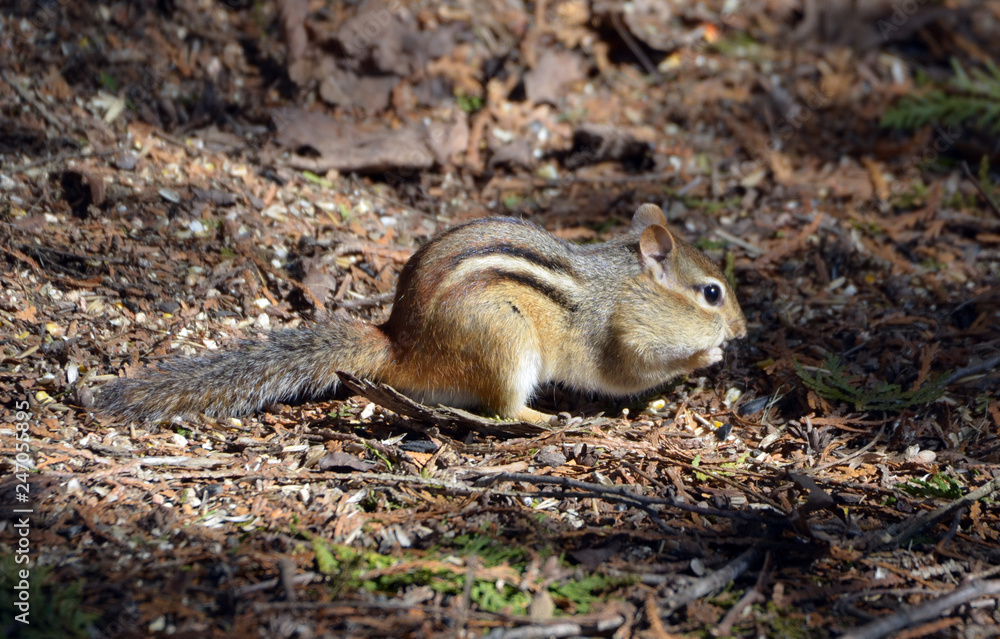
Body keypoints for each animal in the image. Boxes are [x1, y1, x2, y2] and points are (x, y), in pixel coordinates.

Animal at [96, 204, 747, 424]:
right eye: (713, 293)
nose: (743, 330)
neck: (624, 286)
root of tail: (399, 346)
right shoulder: (620, 336)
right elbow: (628, 372)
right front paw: (706, 354)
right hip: (506, 343)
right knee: (502, 410)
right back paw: (541, 419)